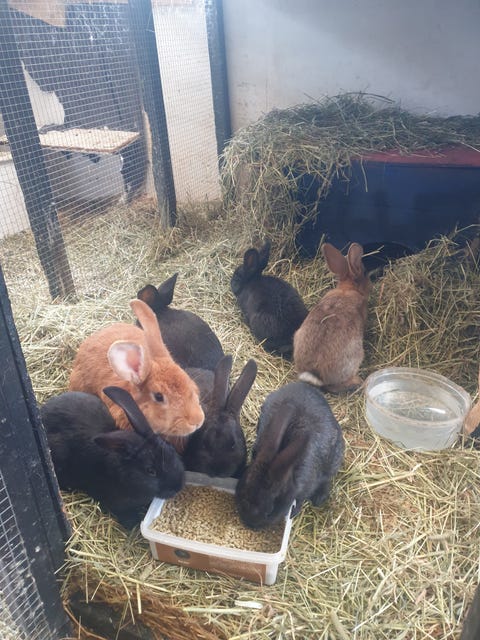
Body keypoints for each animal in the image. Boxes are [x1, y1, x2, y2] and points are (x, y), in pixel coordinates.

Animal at [235, 381, 344, 530]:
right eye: (242, 494)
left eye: (269, 512)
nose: (249, 524)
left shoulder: (305, 488)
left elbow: (300, 499)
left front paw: (294, 512)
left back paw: (319, 499)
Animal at [293, 242, 370, 393]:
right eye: (364, 273)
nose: (371, 286)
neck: (347, 288)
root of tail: (314, 373)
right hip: (355, 356)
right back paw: (358, 382)